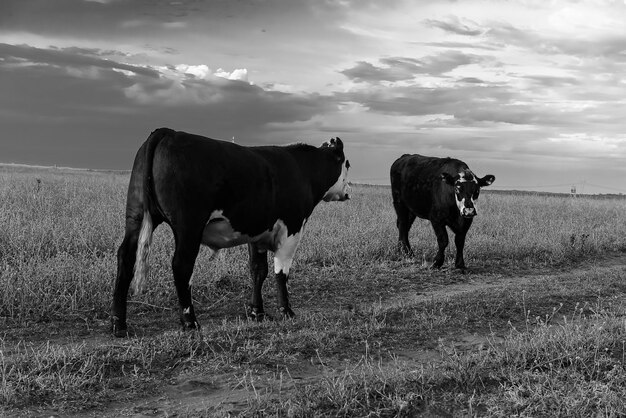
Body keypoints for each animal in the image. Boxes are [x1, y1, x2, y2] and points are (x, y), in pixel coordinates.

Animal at [109, 127, 348, 336]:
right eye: (347, 163)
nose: (347, 192)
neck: (302, 169)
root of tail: (168, 132)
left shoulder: (257, 233)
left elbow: (258, 271)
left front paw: (257, 312)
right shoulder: (292, 229)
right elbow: (281, 273)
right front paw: (287, 311)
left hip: (135, 217)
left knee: (126, 258)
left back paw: (119, 323)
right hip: (189, 226)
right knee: (181, 266)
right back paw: (190, 321)